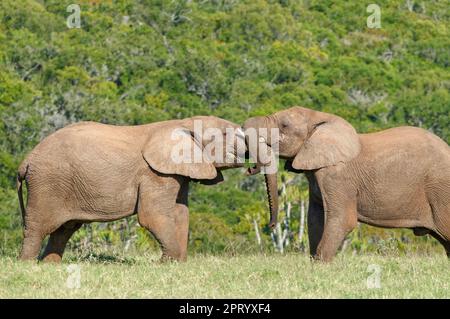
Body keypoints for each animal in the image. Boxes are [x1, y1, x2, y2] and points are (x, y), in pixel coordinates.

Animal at [17, 116, 244, 264]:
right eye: (225, 134)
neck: (183, 122)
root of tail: (26, 161)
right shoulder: (154, 173)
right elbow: (153, 216)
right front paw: (165, 264)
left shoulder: (176, 172)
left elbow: (181, 213)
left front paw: (179, 264)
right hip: (47, 183)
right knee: (39, 226)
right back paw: (28, 265)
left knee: (64, 229)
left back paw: (50, 265)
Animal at [244, 107, 450, 262]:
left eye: (284, 125)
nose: (270, 225)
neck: (319, 117)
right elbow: (314, 218)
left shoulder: (337, 176)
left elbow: (342, 219)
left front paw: (320, 266)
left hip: (440, 192)